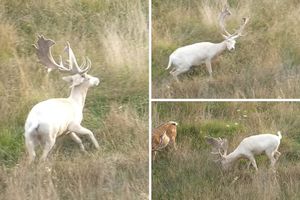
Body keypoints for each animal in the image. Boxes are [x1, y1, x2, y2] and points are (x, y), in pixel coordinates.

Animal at [23, 34, 101, 162]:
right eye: (86, 76)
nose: (97, 80)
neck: (76, 103)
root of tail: (35, 123)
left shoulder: (66, 130)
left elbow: (78, 140)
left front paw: (84, 151)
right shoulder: (74, 124)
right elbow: (89, 132)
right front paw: (98, 148)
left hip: (28, 137)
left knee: (31, 157)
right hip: (50, 136)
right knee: (42, 157)